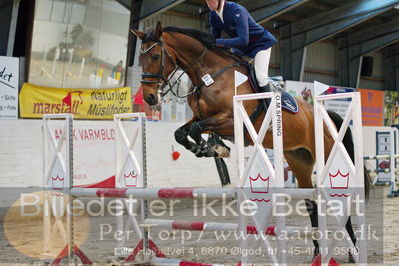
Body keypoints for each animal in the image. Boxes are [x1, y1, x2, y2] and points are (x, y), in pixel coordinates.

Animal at [134, 21, 372, 262]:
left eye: (155, 56)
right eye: (140, 58)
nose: (149, 97)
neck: (209, 74)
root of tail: (328, 117)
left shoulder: (229, 120)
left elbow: (195, 129)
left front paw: (213, 148)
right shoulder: (202, 117)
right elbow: (182, 133)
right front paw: (206, 148)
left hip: (328, 154)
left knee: (338, 201)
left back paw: (353, 251)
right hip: (299, 160)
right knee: (311, 202)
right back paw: (318, 252)